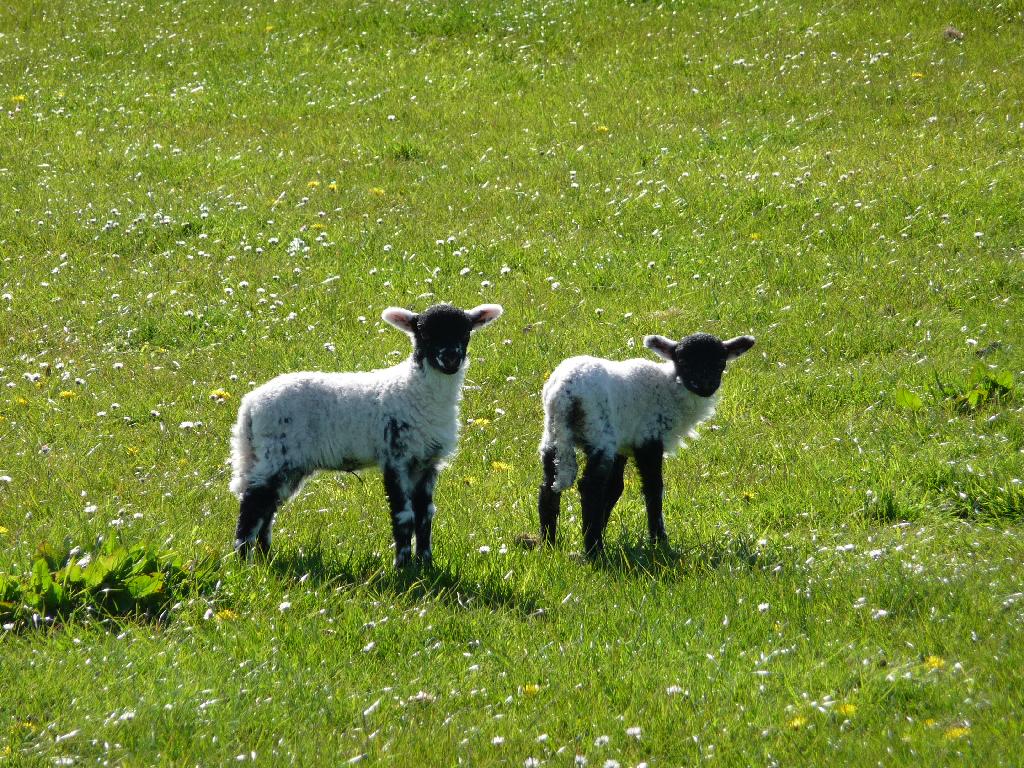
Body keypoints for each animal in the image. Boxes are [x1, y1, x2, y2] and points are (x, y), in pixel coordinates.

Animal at [229, 303, 504, 566]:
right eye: (424, 333)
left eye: (465, 332)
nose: (450, 358)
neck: (415, 390)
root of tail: (250, 404)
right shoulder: (396, 457)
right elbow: (404, 516)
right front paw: (403, 566)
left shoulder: (427, 462)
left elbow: (425, 515)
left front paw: (426, 564)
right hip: (277, 453)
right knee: (254, 502)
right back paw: (244, 561)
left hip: (288, 463)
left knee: (268, 506)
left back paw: (265, 556)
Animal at [537, 331, 755, 557]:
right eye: (683, 361)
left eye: (721, 361)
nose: (704, 386)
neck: (670, 387)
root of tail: (565, 394)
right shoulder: (648, 439)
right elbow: (653, 488)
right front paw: (659, 540)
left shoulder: (623, 444)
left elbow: (615, 488)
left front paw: (602, 526)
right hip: (599, 433)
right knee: (590, 488)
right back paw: (595, 550)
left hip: (553, 436)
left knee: (548, 486)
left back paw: (549, 544)